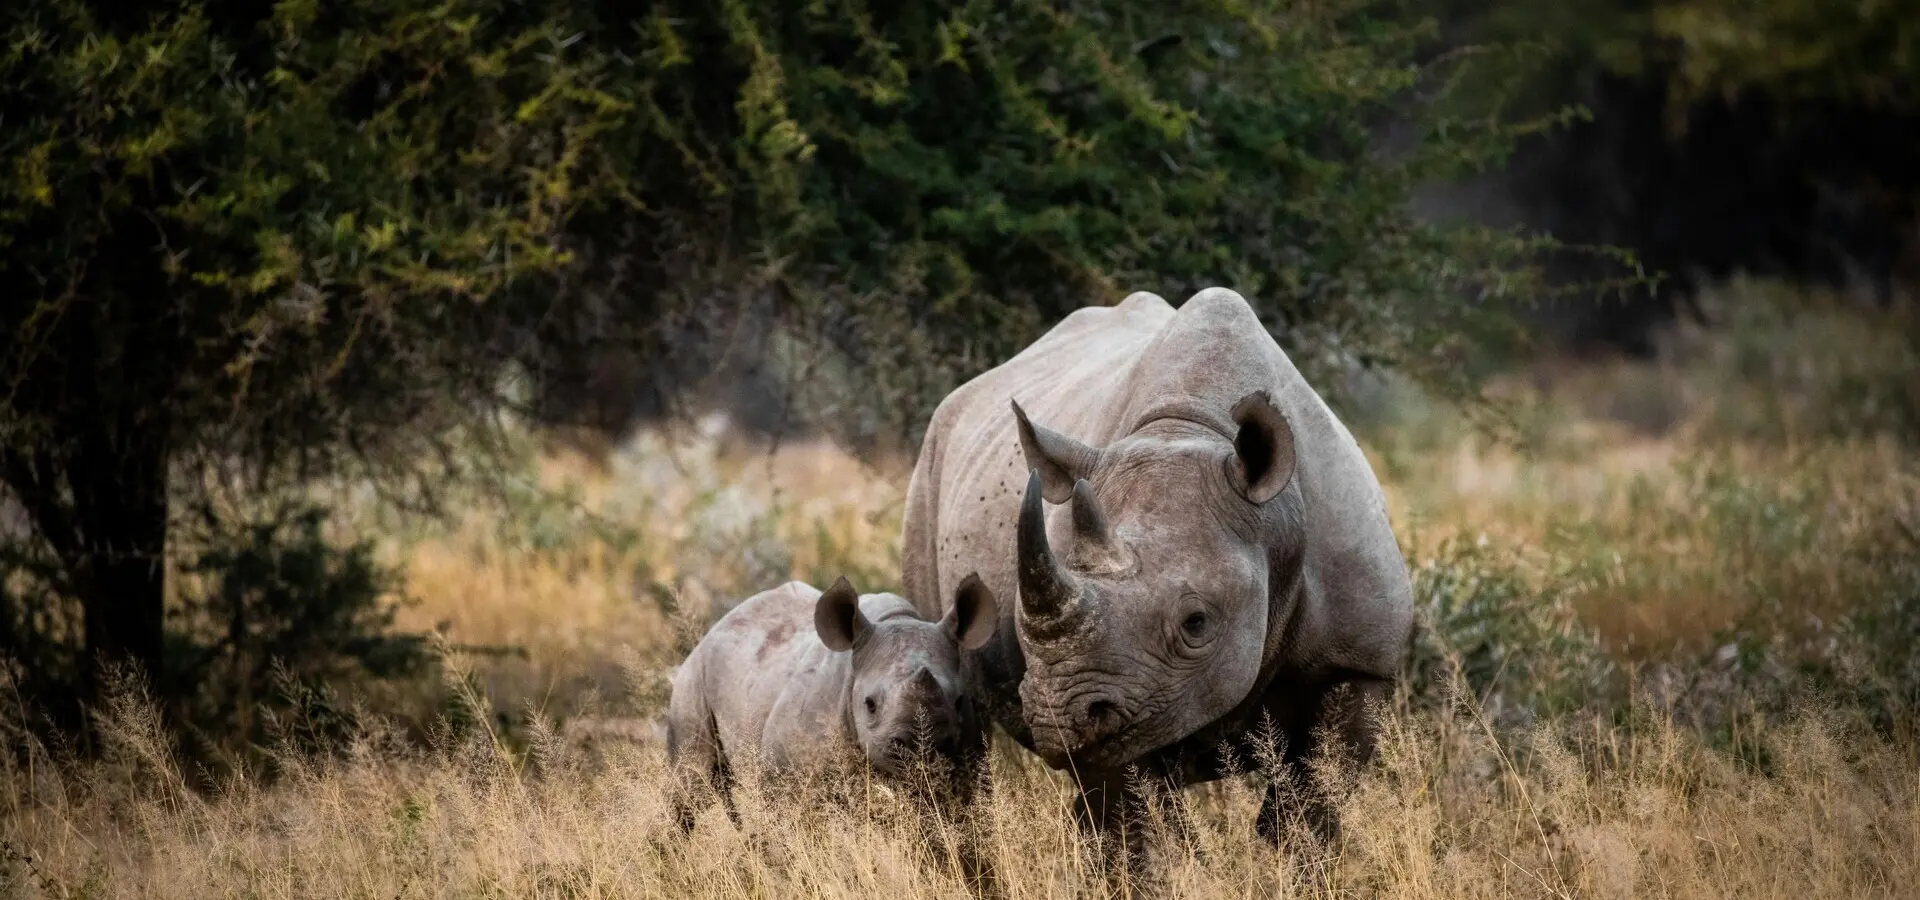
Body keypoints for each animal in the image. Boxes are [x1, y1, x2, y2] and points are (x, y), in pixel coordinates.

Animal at [665, 574, 999, 831]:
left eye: (958, 701)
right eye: (870, 704)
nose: (920, 748)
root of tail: (715, 627)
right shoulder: (784, 779)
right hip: (692, 680)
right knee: (690, 788)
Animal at [901, 287, 1413, 851]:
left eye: (1197, 622)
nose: (1060, 717)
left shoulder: (1359, 663)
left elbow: (1309, 810)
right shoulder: (1128, 694)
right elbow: (1137, 822)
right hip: (928, 472)